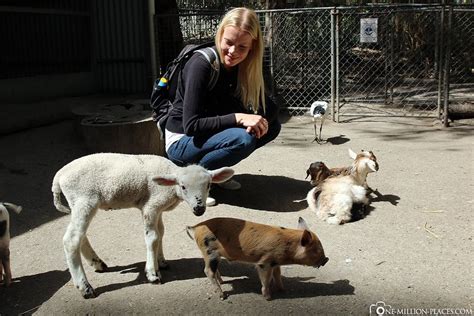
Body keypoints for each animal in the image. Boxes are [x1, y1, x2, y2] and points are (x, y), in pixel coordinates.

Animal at [51, 153, 233, 298]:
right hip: (84, 199)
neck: (170, 187)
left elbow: (161, 233)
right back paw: (85, 287)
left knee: (80, 235)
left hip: (78, 203)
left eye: (209, 185)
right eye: (183, 186)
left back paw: (97, 263)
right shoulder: (151, 206)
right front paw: (153, 273)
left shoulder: (158, 208)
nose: (199, 208)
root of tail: (59, 176)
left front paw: (161, 261)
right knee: (71, 239)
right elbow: (152, 237)